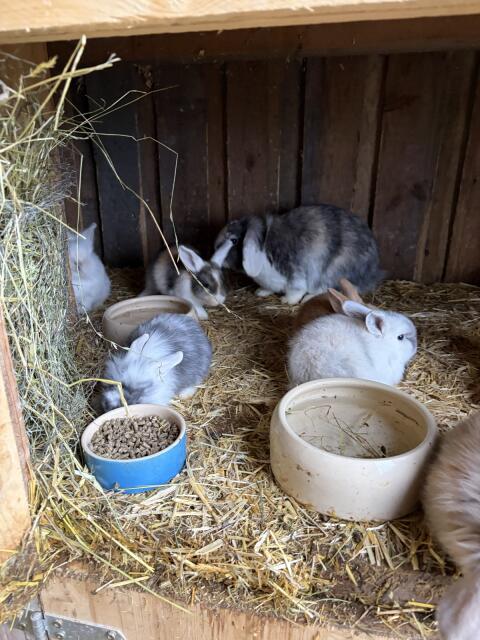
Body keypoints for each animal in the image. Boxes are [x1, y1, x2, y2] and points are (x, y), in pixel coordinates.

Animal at [212, 204, 382, 305]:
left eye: (234, 240)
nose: (214, 250)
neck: (263, 245)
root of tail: (372, 273)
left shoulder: (294, 271)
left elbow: (296, 289)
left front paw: (286, 300)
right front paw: (261, 292)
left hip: (333, 270)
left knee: (326, 288)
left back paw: (308, 298)